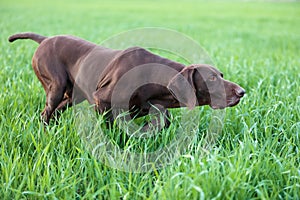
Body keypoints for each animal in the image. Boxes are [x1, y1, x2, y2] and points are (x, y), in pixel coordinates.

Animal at [8, 32, 245, 126]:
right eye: (212, 78)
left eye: (221, 75)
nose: (242, 92)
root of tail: (45, 39)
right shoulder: (102, 101)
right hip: (55, 86)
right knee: (46, 113)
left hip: (72, 95)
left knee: (54, 113)